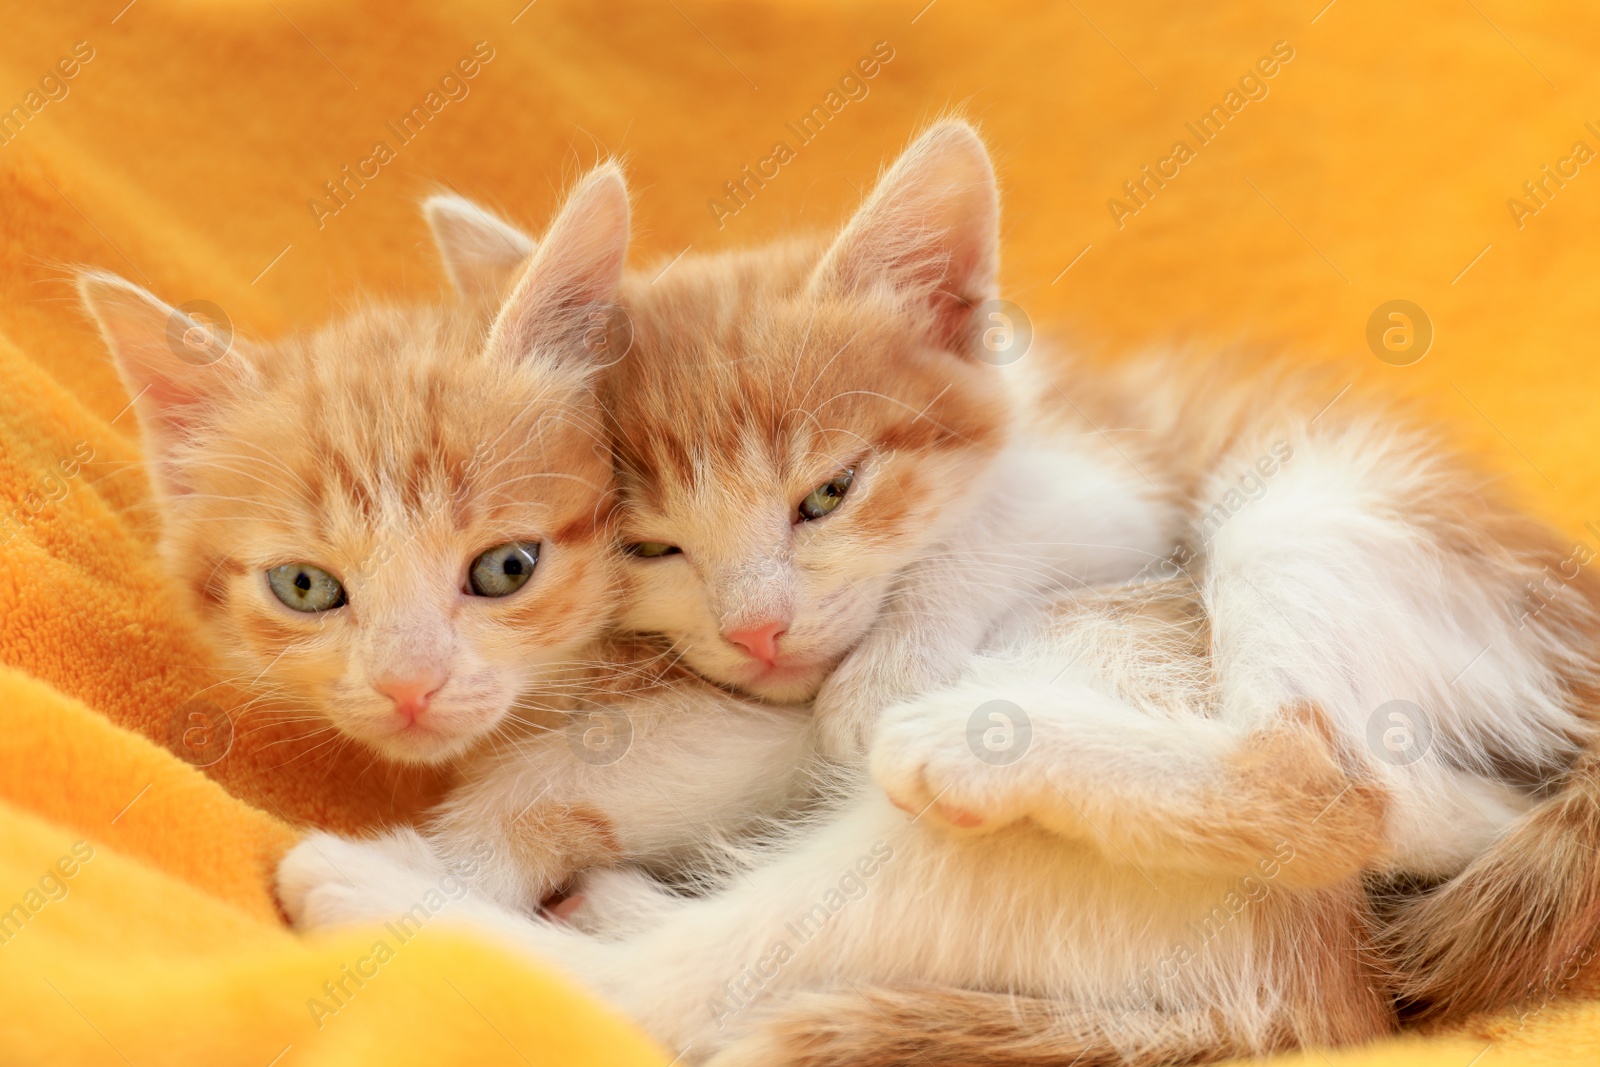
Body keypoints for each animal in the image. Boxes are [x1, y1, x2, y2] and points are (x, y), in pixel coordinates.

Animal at [262, 123, 1600, 1062]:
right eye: (650, 547)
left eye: (829, 494)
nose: (759, 627)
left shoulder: (1116, 486)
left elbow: (980, 551)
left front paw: (886, 673)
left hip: (1309, 508)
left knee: (1342, 781)